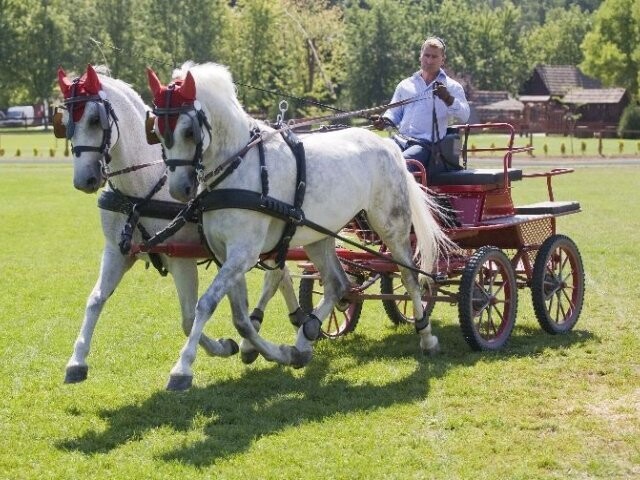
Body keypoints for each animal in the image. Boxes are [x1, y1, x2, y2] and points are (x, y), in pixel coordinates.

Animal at [56, 63, 298, 382]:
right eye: (65, 123)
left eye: (95, 119)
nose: (84, 180)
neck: (142, 190)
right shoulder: (117, 251)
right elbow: (95, 299)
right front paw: (77, 360)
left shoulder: (181, 259)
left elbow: (188, 317)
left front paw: (218, 348)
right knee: (279, 277)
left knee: (276, 277)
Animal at [146, 62, 450, 390]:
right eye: (157, 131)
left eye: (189, 131)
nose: (180, 189)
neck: (239, 166)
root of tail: (386, 144)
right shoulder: (228, 256)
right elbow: (241, 319)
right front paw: (278, 352)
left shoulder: (243, 254)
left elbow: (206, 305)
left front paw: (182, 368)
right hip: (319, 236)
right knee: (337, 284)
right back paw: (306, 338)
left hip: (392, 225)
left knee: (409, 278)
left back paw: (426, 336)